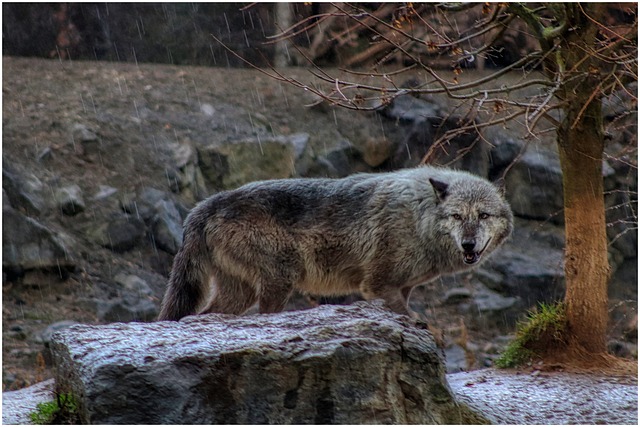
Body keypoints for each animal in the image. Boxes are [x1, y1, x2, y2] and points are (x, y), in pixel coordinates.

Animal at [158, 166, 512, 320]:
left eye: (483, 215)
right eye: (457, 216)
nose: (468, 245)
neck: (418, 214)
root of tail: (205, 205)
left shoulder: (404, 286)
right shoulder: (376, 286)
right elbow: (410, 319)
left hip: (240, 293)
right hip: (279, 282)